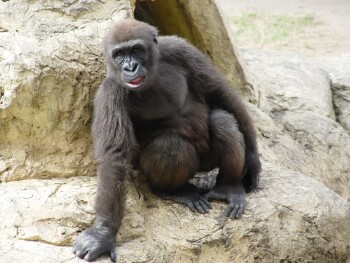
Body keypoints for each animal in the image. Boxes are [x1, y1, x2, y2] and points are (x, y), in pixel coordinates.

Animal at [74, 19, 260, 263]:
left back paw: (228, 186)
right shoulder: (110, 92)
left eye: (136, 50)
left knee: (223, 120)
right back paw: (172, 191)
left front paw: (253, 160)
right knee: (170, 145)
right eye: (119, 55)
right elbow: (114, 158)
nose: (130, 68)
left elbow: (222, 95)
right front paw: (103, 233)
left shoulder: (180, 49)